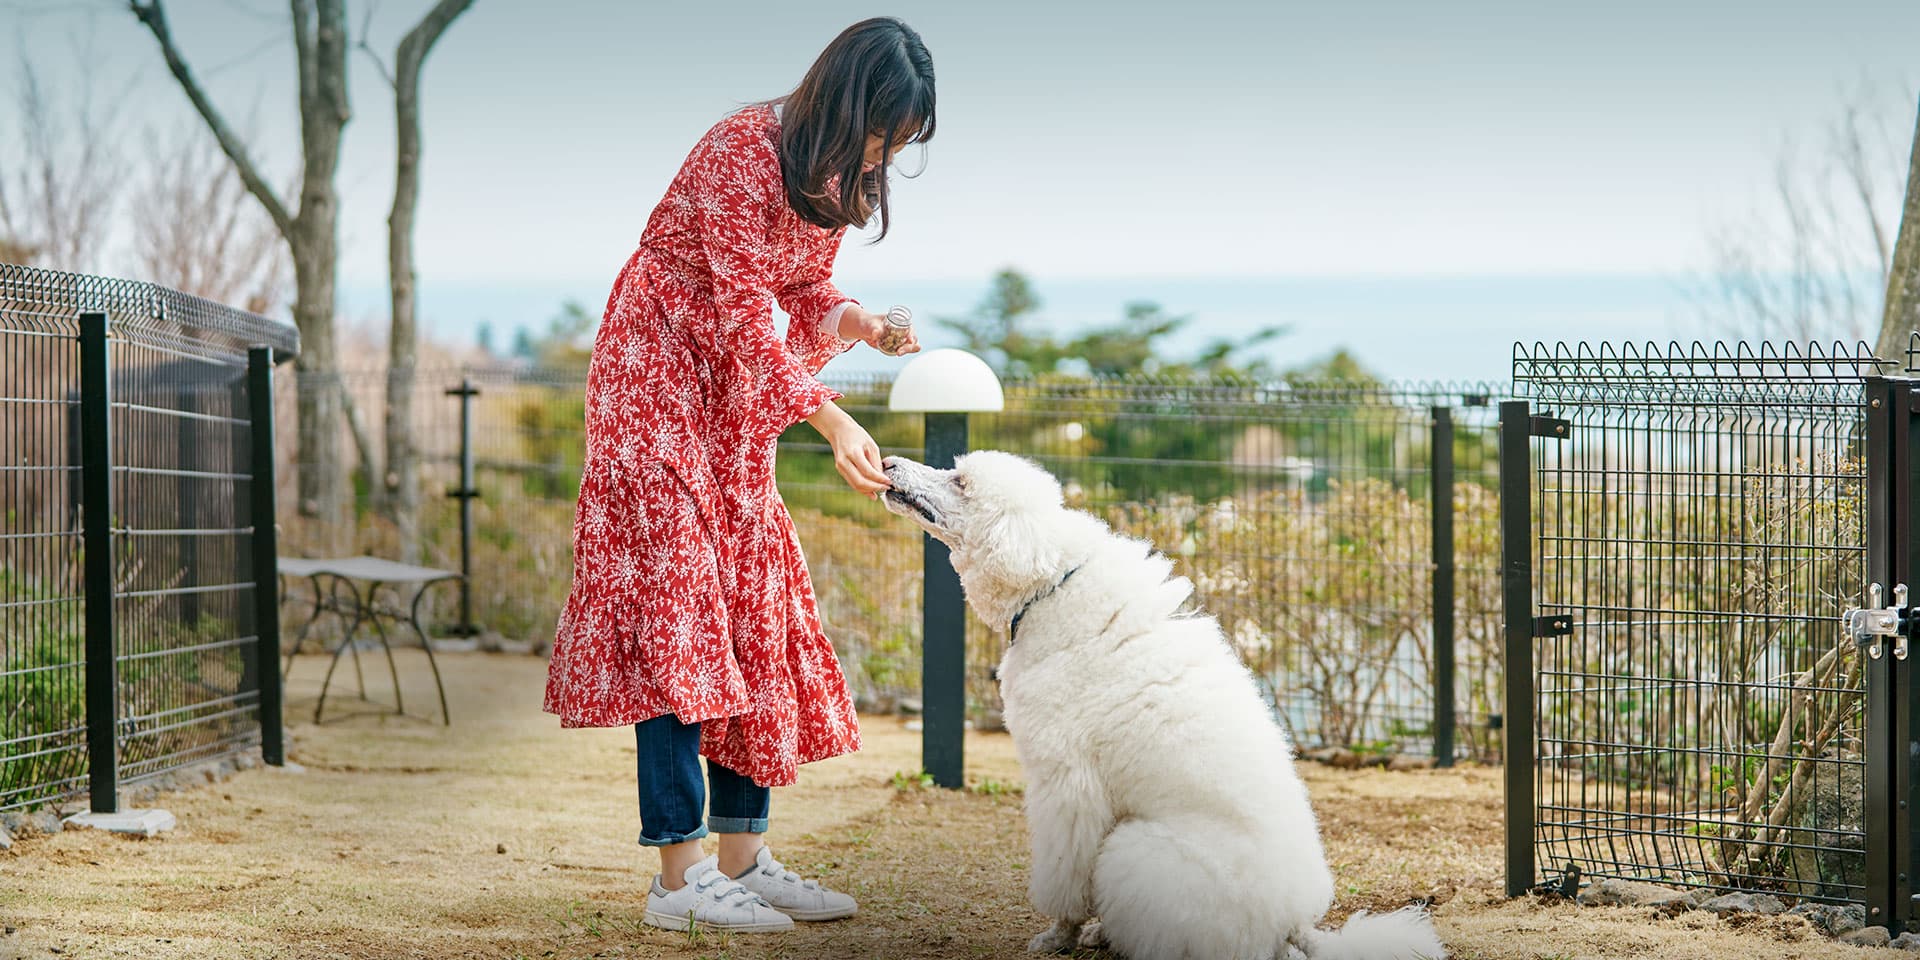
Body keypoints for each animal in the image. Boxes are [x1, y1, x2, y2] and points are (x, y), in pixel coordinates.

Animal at [879, 451, 1443, 960]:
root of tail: (1294, 924)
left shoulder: (1066, 785)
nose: (886, 463)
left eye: (962, 483)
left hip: (1133, 848)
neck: (1051, 584)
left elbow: (1066, 878)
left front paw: (1058, 935)